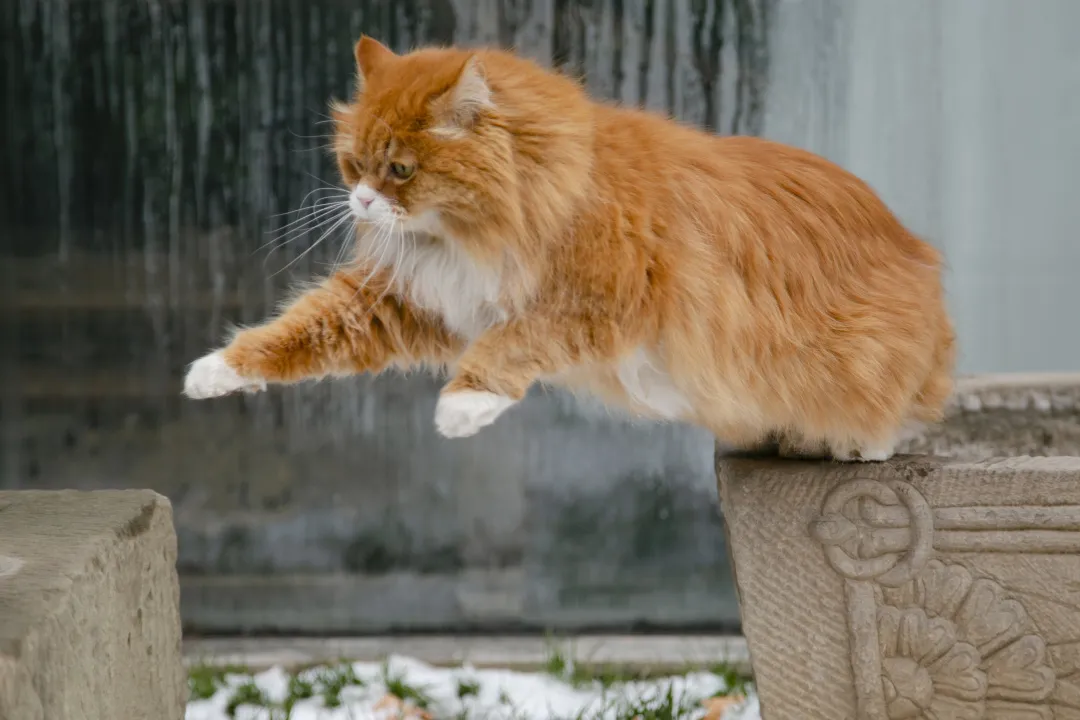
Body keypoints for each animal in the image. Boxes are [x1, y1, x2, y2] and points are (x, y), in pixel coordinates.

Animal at [183, 35, 954, 462]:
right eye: (353, 166)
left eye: (399, 169)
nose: (362, 204)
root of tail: (920, 251)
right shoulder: (406, 299)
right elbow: (292, 332)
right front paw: (217, 369)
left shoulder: (597, 302)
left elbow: (511, 343)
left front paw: (464, 405)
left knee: (898, 415)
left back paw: (849, 441)